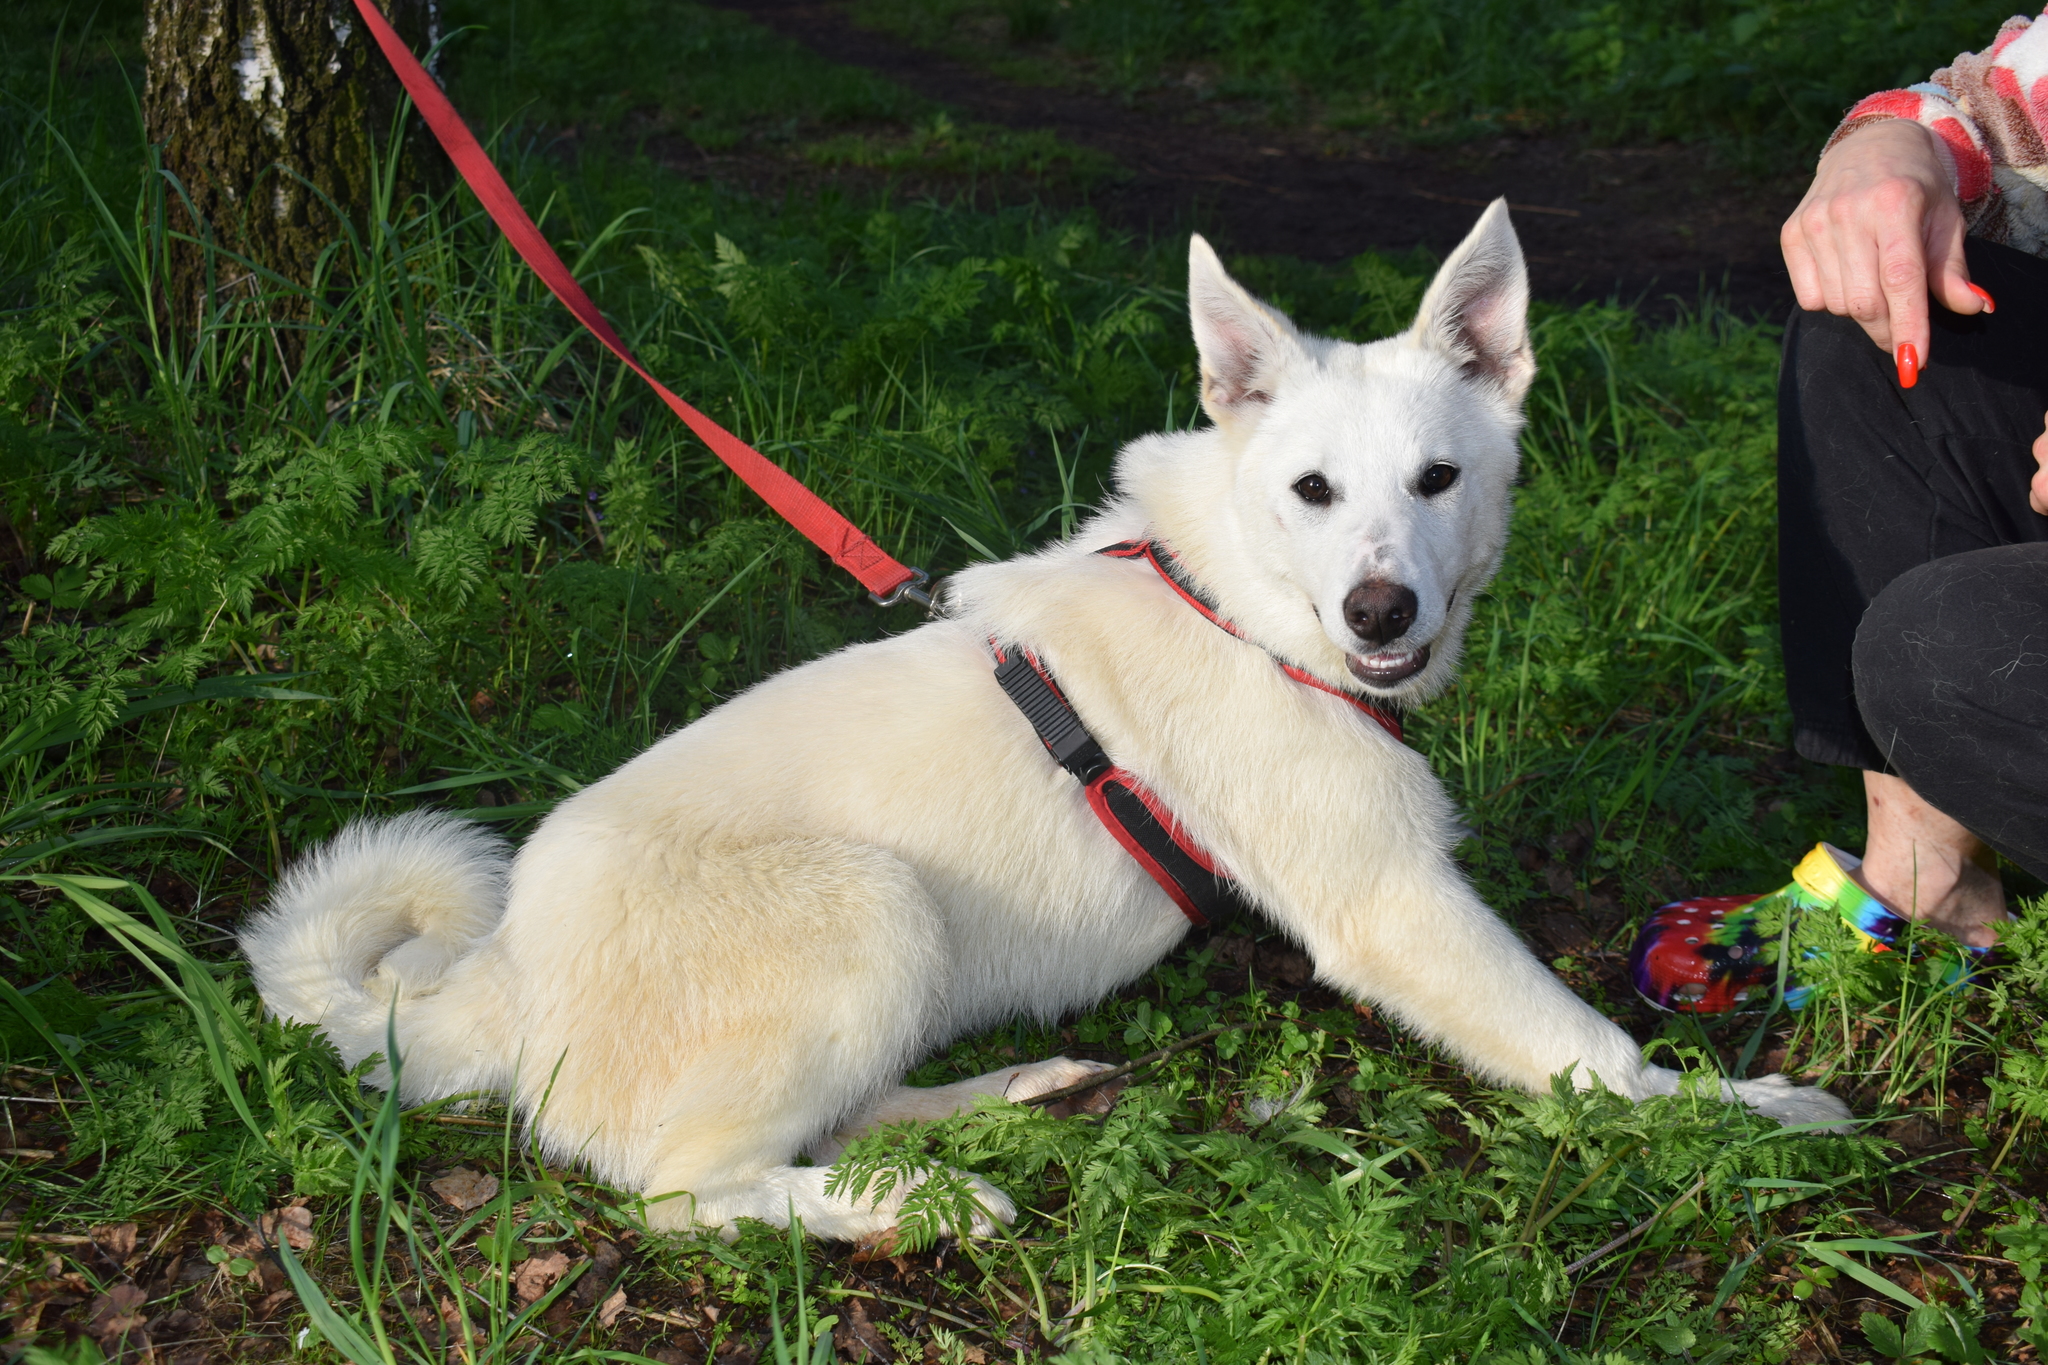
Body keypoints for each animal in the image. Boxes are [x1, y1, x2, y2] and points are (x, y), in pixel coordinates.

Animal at [243, 202, 1859, 1236]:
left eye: (1439, 481)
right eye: (1313, 490)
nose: (1379, 615)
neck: (1241, 601)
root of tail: (497, 978)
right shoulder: (1394, 906)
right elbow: (1590, 1053)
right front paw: (1742, 1113)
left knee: (832, 1113)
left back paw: (1008, 1098)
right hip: (870, 907)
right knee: (686, 1193)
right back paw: (909, 1212)